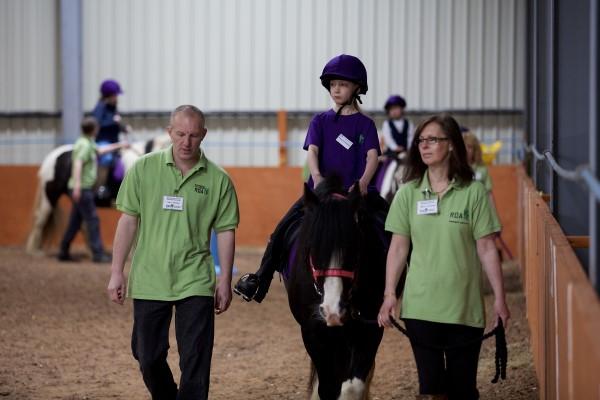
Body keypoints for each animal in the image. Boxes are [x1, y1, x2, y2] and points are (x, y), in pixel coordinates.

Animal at [284, 178, 392, 400]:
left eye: (354, 249)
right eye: (312, 248)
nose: (333, 310)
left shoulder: (370, 327)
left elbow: (353, 385)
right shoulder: (312, 331)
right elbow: (327, 387)